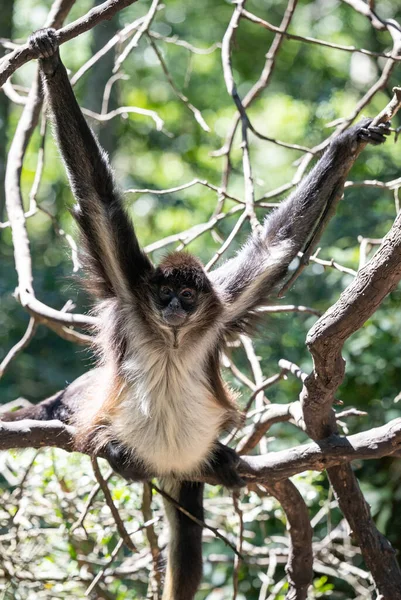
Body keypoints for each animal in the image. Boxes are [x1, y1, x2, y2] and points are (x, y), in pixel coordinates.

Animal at [2, 27, 390, 600]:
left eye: (186, 298)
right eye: (164, 293)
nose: (170, 307)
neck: (173, 338)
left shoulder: (221, 310)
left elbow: (276, 246)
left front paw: (347, 145)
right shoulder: (130, 291)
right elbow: (98, 199)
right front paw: (50, 60)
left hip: (186, 474)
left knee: (187, 544)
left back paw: (216, 463)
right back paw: (120, 454)